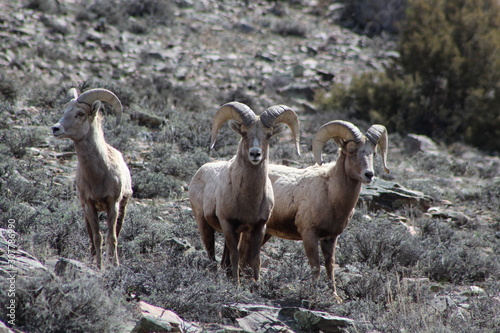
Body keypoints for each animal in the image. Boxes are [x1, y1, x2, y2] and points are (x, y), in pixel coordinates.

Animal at [51, 87, 132, 268]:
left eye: (80, 113)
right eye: (65, 110)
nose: (55, 128)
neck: (98, 176)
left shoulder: (113, 204)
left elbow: (112, 237)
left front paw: (114, 265)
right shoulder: (89, 206)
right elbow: (97, 238)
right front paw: (99, 267)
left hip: (122, 207)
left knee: (117, 231)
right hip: (85, 211)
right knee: (91, 237)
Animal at [188, 101, 298, 282]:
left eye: (268, 135)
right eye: (244, 133)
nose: (255, 154)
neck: (249, 200)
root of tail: (200, 171)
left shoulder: (259, 227)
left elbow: (255, 259)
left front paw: (256, 284)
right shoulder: (227, 223)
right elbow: (235, 256)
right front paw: (237, 284)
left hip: (234, 232)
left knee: (223, 260)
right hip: (204, 224)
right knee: (212, 256)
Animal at [248, 120, 388, 298]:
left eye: (373, 153)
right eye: (351, 151)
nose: (369, 174)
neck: (330, 194)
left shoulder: (330, 238)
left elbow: (330, 266)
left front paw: (335, 297)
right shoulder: (309, 234)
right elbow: (316, 266)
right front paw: (314, 295)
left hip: (264, 232)